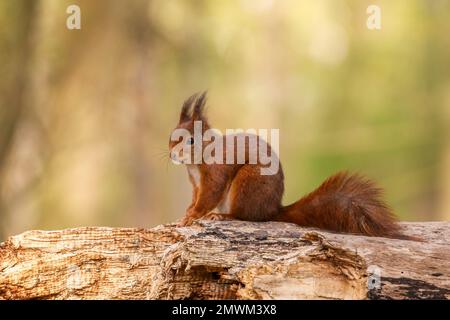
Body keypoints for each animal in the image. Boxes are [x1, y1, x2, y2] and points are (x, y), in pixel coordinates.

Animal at [169, 91, 408, 239]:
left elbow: (209, 195)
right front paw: (186, 212)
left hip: (248, 183)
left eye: (190, 141)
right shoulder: (195, 183)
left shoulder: (215, 172)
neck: (195, 163)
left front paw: (192, 216)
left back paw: (224, 216)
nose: (172, 154)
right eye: (171, 136)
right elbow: (195, 197)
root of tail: (273, 209)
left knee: (245, 215)